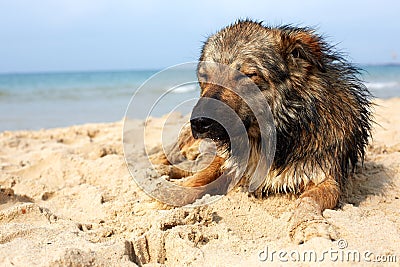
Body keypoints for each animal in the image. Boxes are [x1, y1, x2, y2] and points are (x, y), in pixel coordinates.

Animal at [150, 19, 372, 244]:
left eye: (248, 75)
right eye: (205, 76)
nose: (200, 123)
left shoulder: (324, 175)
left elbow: (307, 200)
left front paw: (309, 225)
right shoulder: (229, 162)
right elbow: (199, 179)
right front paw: (168, 197)